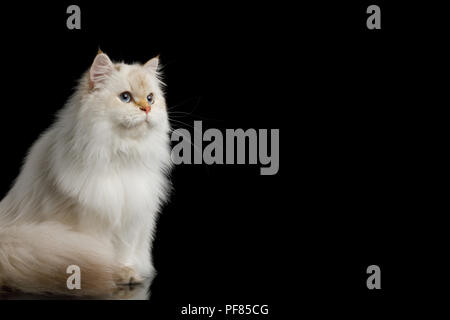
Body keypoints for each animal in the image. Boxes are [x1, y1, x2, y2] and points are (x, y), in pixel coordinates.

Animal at [0, 50, 172, 298]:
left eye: (150, 98)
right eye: (126, 97)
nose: (146, 109)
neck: (120, 156)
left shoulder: (132, 219)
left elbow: (124, 253)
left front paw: (128, 273)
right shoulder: (90, 219)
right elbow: (104, 255)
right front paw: (117, 274)